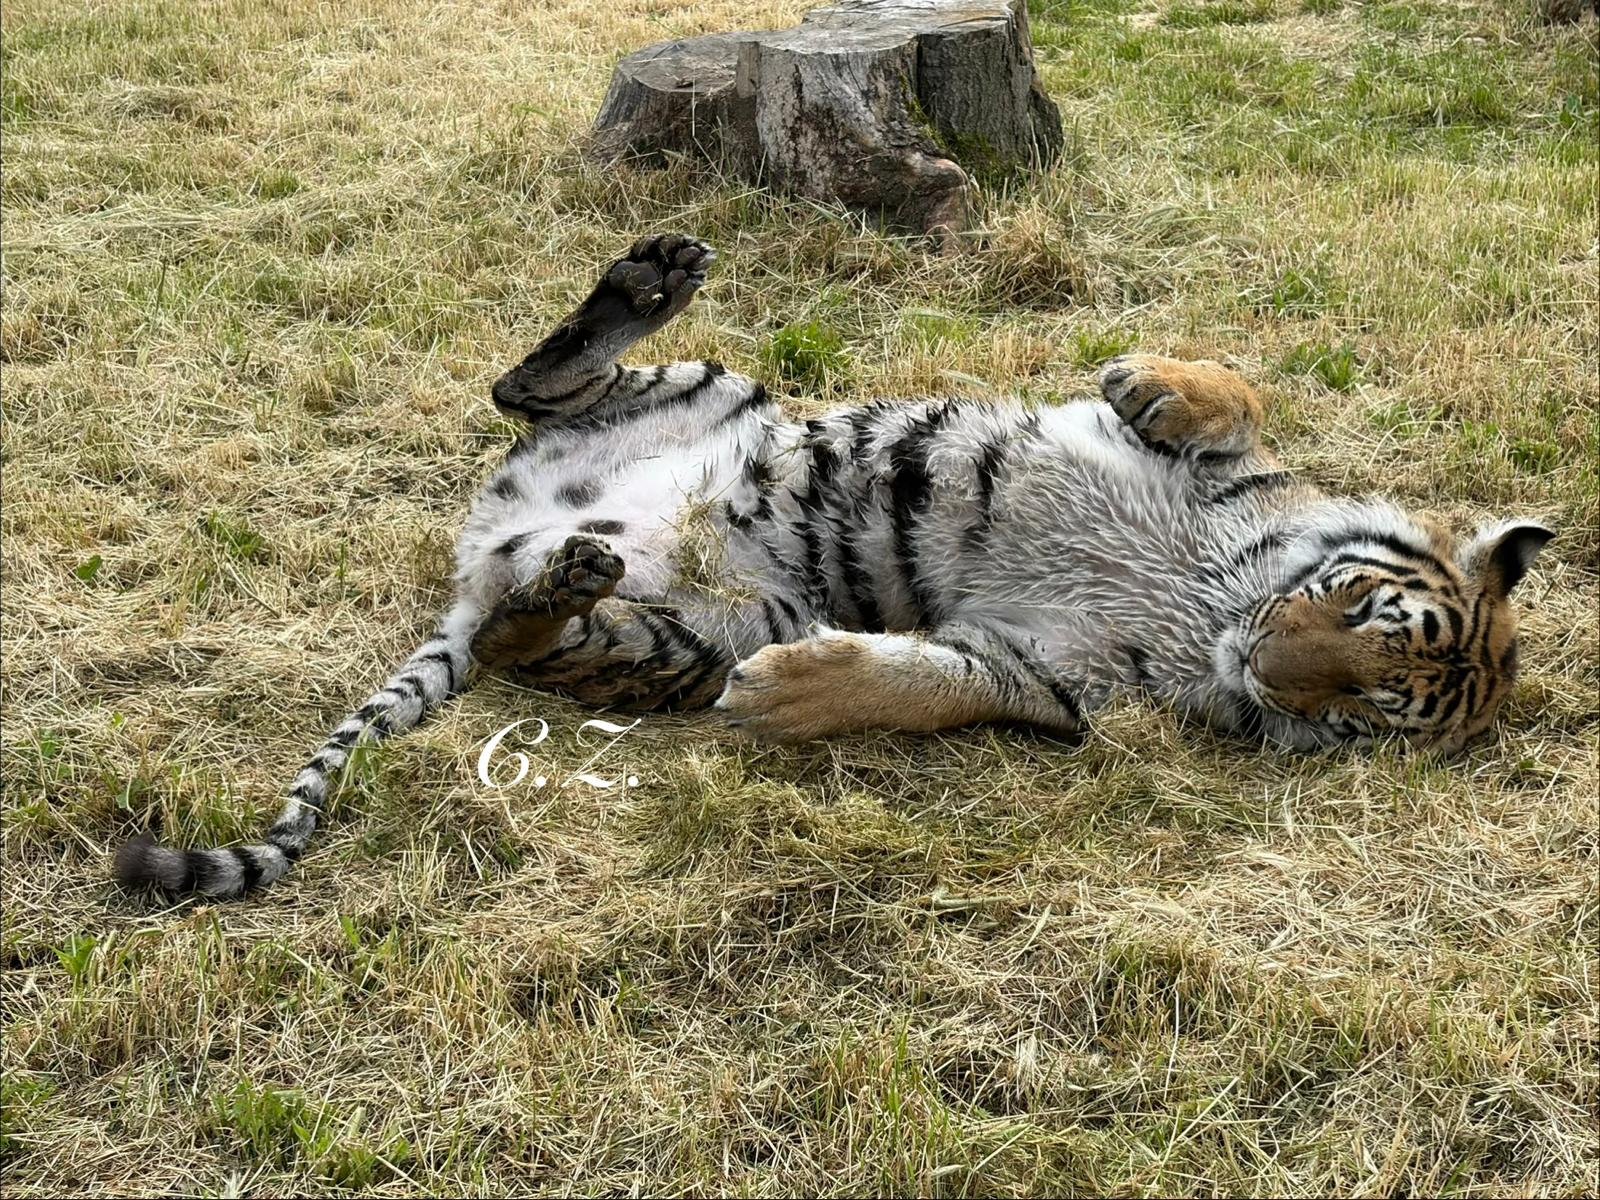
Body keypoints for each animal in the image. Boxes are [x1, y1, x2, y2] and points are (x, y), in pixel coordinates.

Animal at [114, 234, 1553, 898]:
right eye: (1355, 601)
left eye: (1365, 711)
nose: (1261, 663)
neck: (1214, 602)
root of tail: (483, 561)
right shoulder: (1245, 472)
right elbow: (1235, 388)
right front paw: (1153, 382)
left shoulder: (1042, 682)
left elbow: (923, 683)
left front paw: (797, 696)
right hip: (707, 389)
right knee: (527, 384)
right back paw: (651, 275)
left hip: (683, 639)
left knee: (542, 632)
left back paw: (567, 584)